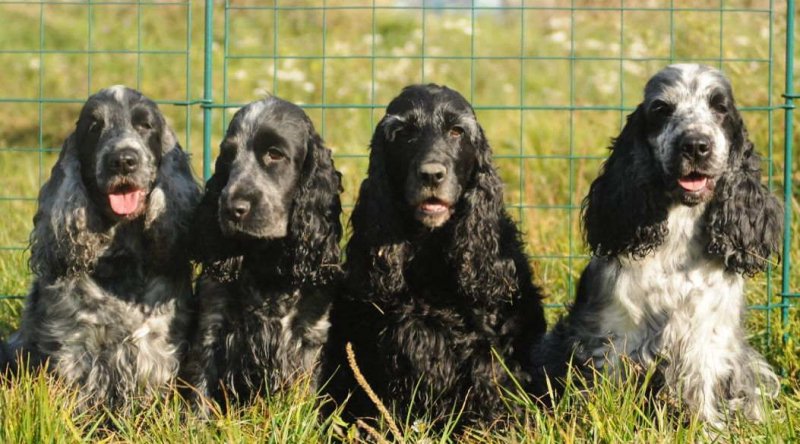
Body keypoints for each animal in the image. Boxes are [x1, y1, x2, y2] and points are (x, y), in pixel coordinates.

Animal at [0, 85, 200, 408]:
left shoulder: (157, 343)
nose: (123, 160)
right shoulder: (76, 345)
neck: (122, 257)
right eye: (94, 127)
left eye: (145, 125)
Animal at [532, 63, 780, 424]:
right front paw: (606, 422)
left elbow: (700, 386)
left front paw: (707, 428)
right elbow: (610, 382)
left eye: (720, 107)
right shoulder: (614, 330)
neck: (677, 237)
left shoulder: (705, 333)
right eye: (661, 108)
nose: (695, 145)